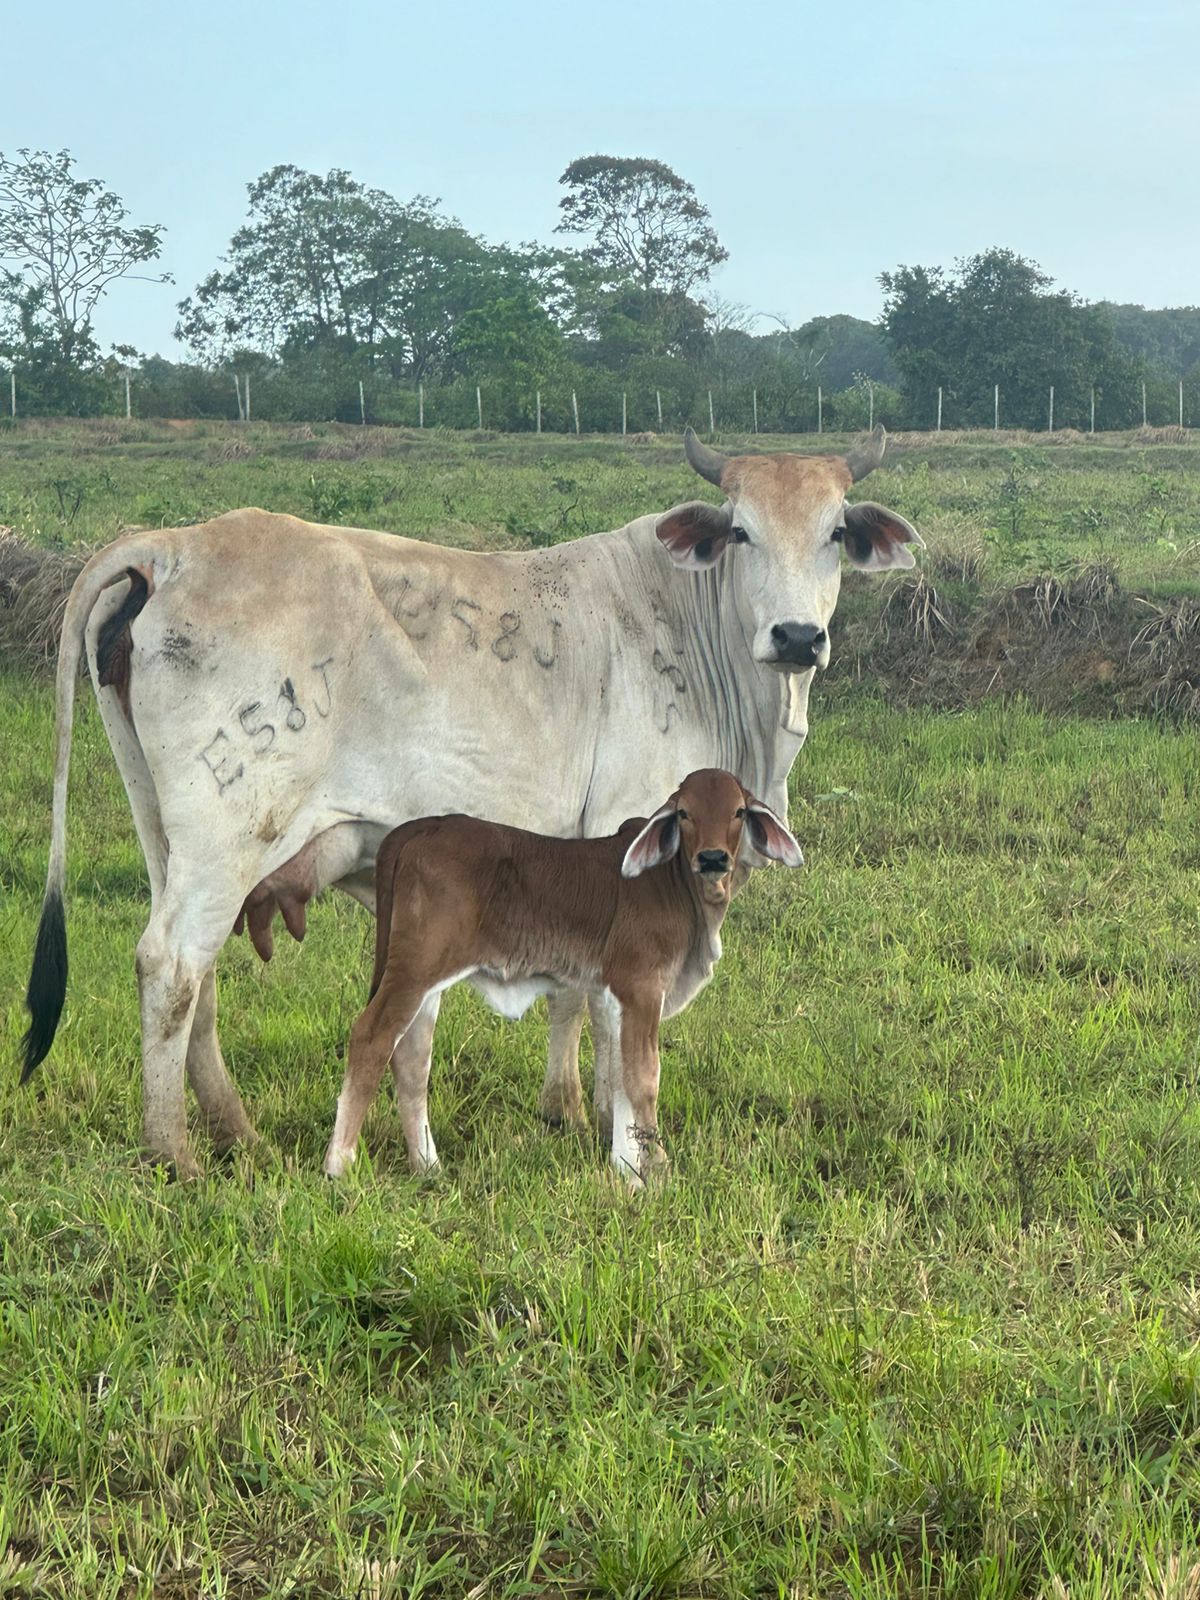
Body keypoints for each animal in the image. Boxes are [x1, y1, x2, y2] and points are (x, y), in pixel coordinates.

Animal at [324, 769, 804, 1186]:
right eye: (684, 812)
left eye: (738, 811)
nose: (713, 858)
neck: (679, 888)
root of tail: (419, 828)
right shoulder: (641, 987)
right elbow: (644, 1078)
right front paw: (656, 1168)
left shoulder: (619, 998)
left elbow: (621, 1077)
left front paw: (629, 1171)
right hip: (414, 970)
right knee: (371, 1039)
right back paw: (338, 1163)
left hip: (423, 980)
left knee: (411, 1058)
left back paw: (427, 1164)